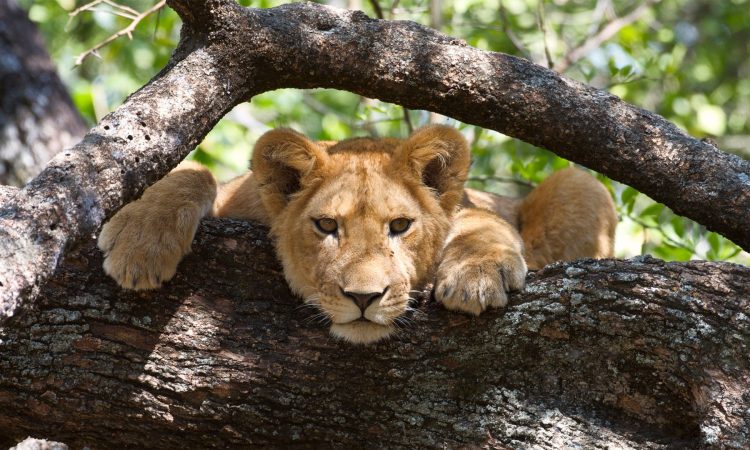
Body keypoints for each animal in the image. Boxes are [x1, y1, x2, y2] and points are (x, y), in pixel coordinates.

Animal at [98, 125, 617, 344]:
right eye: (327, 226)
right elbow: (194, 172)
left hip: (583, 184)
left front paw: (476, 276)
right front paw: (140, 243)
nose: (364, 298)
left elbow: (483, 223)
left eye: (401, 226)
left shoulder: (473, 209)